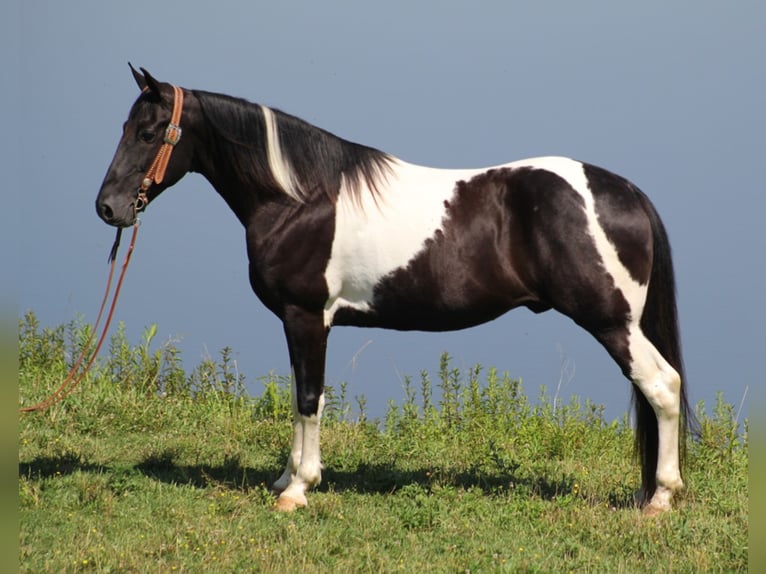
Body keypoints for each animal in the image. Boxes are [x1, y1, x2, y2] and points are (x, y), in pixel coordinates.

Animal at [97, 67, 696, 516]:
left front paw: (299, 489)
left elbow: (309, 398)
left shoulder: (306, 315)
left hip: (613, 323)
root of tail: (626, 191)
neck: (299, 198)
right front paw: (286, 479)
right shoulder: (299, 321)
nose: (108, 207)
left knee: (663, 386)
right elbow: (298, 396)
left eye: (148, 133)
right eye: (125, 126)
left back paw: (661, 499)